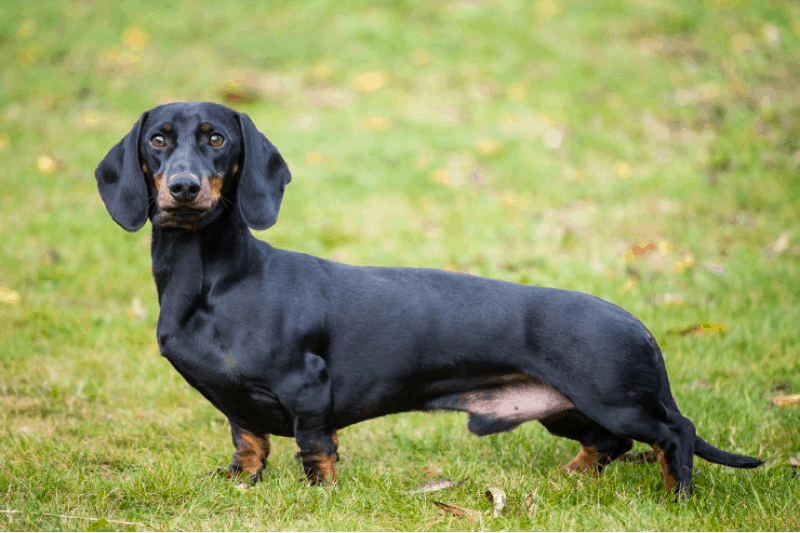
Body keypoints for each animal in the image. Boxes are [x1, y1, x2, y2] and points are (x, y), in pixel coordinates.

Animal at [95, 103, 764, 494]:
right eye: (158, 140)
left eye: (216, 140)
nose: (184, 189)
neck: (215, 282)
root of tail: (638, 324)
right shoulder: (234, 400)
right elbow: (249, 439)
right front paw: (240, 479)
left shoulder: (306, 386)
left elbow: (315, 447)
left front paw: (320, 493)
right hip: (568, 409)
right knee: (609, 444)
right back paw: (571, 478)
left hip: (615, 399)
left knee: (675, 433)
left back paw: (677, 494)